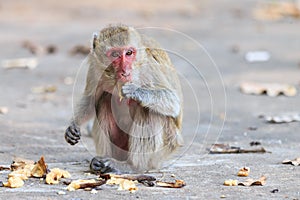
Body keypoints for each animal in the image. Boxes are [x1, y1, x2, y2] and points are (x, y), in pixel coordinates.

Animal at [64, 23, 184, 173]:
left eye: (129, 53)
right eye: (115, 55)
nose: (125, 71)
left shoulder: (148, 68)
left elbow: (173, 101)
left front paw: (135, 91)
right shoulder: (94, 67)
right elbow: (91, 98)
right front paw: (74, 125)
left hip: (165, 147)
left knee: (146, 109)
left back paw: (132, 166)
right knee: (104, 100)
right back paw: (101, 162)